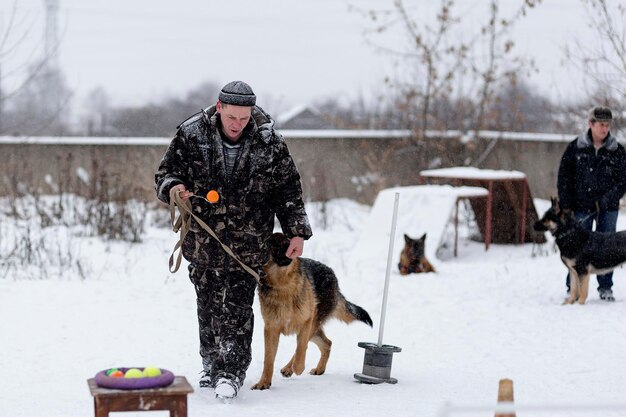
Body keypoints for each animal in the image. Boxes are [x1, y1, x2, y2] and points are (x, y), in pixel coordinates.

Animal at [251, 232, 372, 388]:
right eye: (272, 244)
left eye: (265, 245)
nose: (293, 246)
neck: (283, 286)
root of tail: (333, 276)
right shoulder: (271, 329)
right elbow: (268, 359)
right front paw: (264, 383)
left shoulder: (306, 322)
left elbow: (300, 349)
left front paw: (297, 368)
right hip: (314, 329)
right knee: (327, 343)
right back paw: (319, 369)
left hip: (313, 325)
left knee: (310, 345)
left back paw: (290, 368)